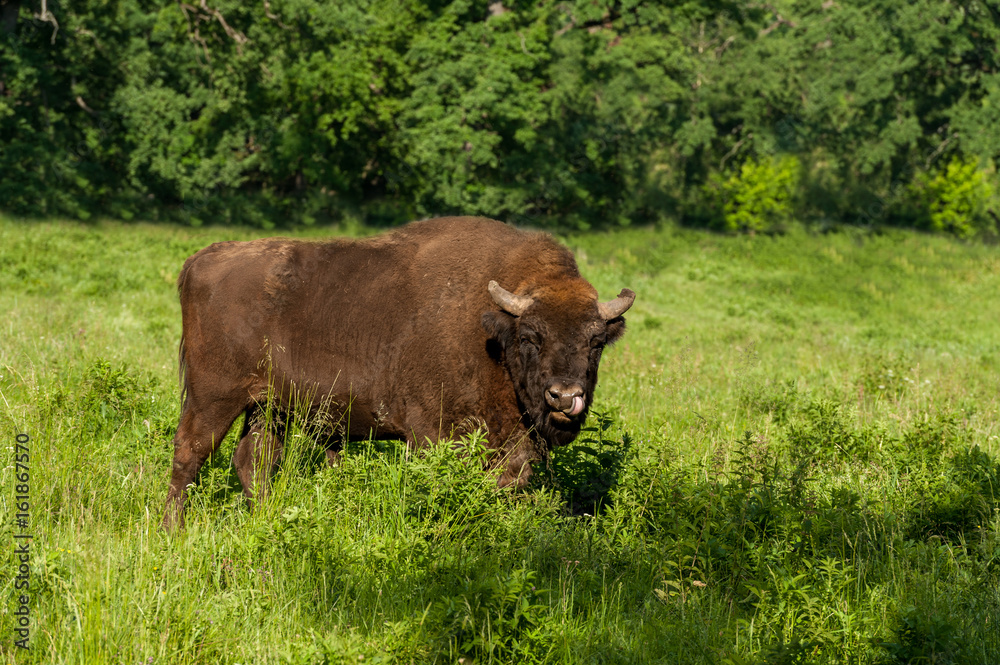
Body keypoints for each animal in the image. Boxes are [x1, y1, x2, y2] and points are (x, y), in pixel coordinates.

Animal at [163, 218, 632, 528]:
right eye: (531, 336)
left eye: (596, 341)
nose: (565, 396)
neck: (490, 329)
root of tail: (200, 259)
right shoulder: (435, 433)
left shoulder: (514, 442)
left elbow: (507, 483)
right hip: (214, 397)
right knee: (190, 452)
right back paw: (173, 529)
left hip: (269, 406)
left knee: (254, 461)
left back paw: (263, 519)